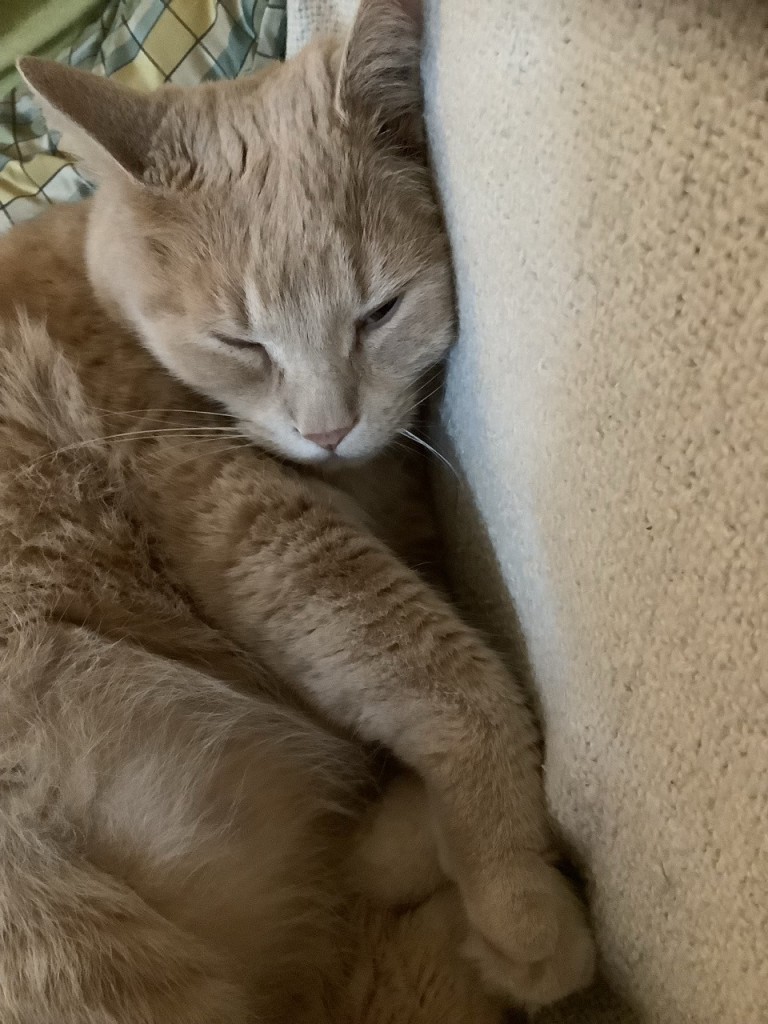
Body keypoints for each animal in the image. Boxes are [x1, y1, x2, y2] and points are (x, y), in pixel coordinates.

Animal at [0, 4, 598, 1019]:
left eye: (379, 312)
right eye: (241, 342)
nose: (328, 429)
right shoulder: (260, 530)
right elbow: (459, 682)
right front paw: (517, 897)